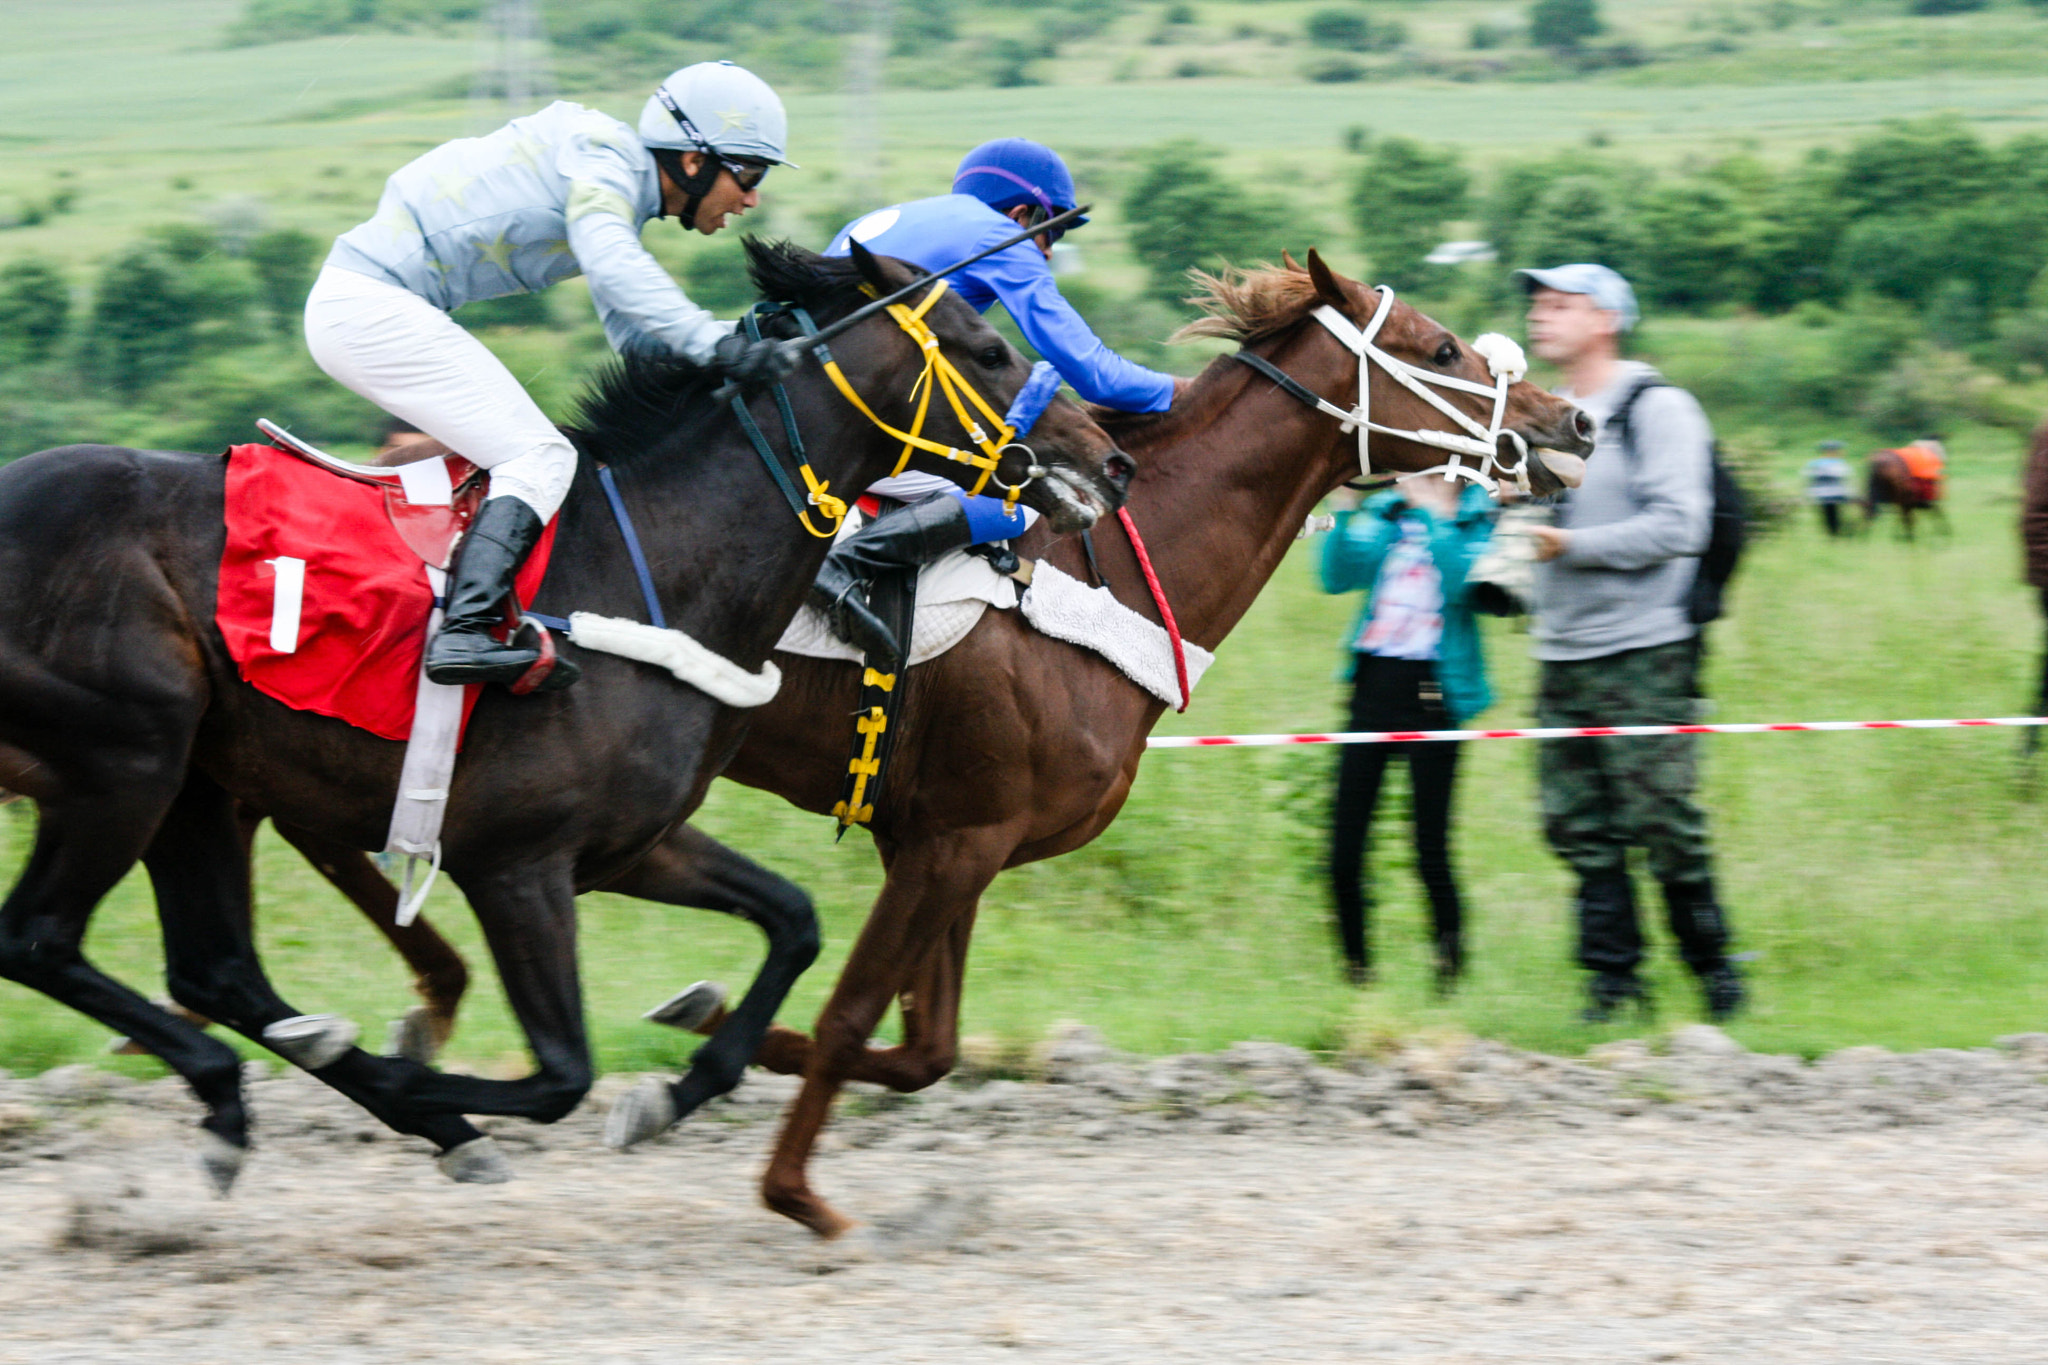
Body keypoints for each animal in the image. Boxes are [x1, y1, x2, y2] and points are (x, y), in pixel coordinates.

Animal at [0, 238, 1131, 1190]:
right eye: (989, 347)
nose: (1108, 462)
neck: (649, 563)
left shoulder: (629, 844)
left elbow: (793, 923)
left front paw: (674, 1086)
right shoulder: (514, 862)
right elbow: (560, 1074)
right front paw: (425, 1086)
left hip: (197, 781)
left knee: (213, 966)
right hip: (129, 757)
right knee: (41, 939)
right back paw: (277, 1092)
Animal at [245, 251, 1594, 1233]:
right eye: (1438, 350)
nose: (1572, 424)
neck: (1101, 566)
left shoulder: (947, 842)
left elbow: (922, 1047)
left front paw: (696, 1029)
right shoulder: (956, 838)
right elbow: (857, 1020)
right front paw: (789, 1189)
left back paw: (402, 1030)